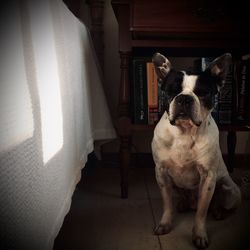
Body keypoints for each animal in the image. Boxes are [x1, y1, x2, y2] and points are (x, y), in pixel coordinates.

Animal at [151, 52, 241, 248]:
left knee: (217, 204)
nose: (184, 98)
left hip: (229, 190)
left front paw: (199, 234)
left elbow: (201, 212)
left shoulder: (207, 178)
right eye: (171, 91)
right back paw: (184, 204)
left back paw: (218, 212)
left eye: (203, 93)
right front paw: (165, 224)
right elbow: (167, 204)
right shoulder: (161, 173)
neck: (184, 132)